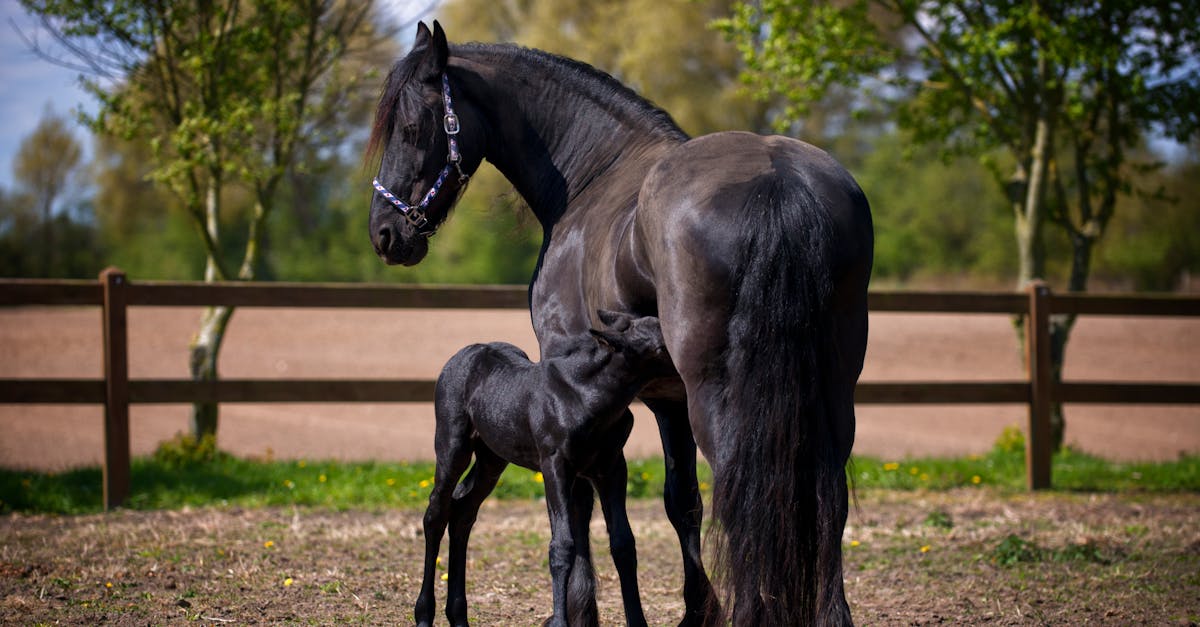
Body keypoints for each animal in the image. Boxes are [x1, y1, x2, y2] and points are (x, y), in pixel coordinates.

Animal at [417, 311, 674, 627]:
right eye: (660, 346)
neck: (587, 397)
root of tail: (462, 355)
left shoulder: (612, 467)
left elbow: (623, 543)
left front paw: (638, 621)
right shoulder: (554, 464)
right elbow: (562, 545)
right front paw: (560, 621)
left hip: (492, 458)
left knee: (463, 512)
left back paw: (459, 616)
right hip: (452, 446)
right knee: (436, 513)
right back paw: (424, 614)